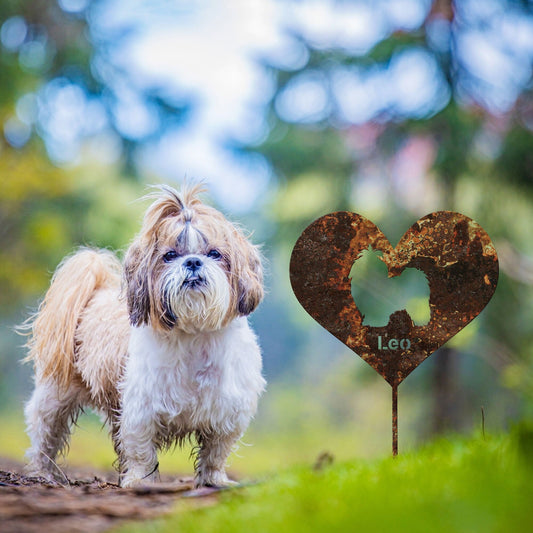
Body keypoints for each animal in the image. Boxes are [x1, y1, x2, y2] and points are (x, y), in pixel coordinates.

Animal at [22, 185, 264, 488]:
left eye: (215, 253)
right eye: (169, 255)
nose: (193, 261)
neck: (194, 334)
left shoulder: (227, 411)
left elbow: (215, 451)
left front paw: (214, 481)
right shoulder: (141, 409)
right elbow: (141, 450)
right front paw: (141, 481)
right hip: (56, 395)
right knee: (44, 433)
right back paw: (42, 473)